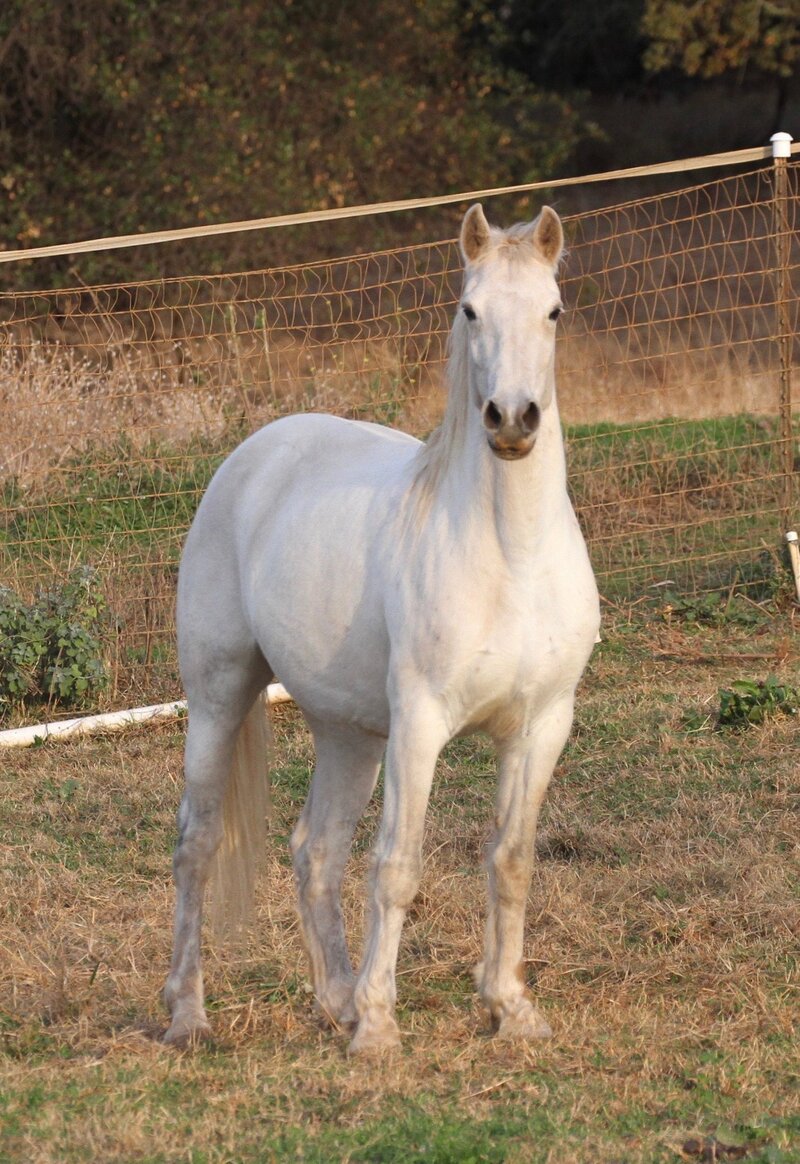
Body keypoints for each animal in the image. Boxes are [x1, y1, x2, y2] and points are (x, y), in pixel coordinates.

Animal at [164, 204, 600, 1052]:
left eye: (555, 311)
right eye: (470, 310)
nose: (512, 419)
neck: (513, 555)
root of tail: (255, 454)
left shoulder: (541, 725)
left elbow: (511, 863)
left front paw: (510, 1008)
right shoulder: (422, 724)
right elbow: (397, 868)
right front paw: (378, 1026)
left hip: (349, 733)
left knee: (315, 852)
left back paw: (333, 998)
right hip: (220, 698)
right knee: (197, 845)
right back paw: (189, 1014)